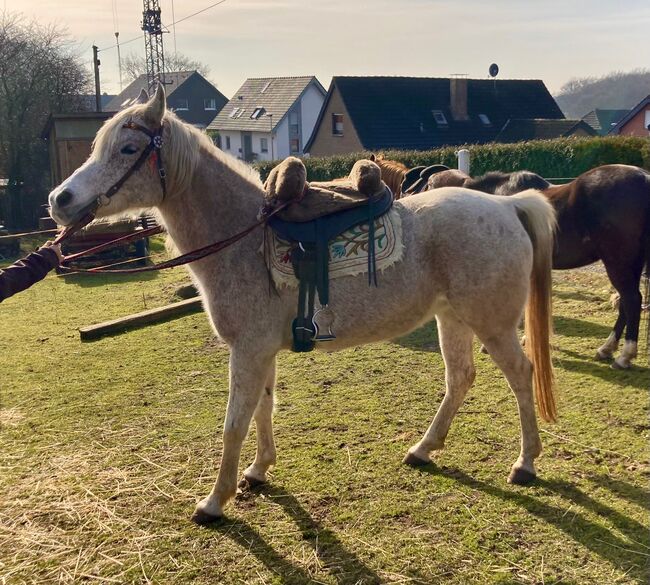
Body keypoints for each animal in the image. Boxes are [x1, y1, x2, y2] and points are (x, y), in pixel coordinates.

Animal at [49, 86, 556, 524]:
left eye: (128, 149)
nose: (59, 199)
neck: (243, 236)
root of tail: (507, 207)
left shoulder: (248, 351)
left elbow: (234, 422)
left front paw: (214, 501)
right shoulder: (260, 352)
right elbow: (262, 408)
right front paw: (257, 472)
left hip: (492, 324)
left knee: (521, 374)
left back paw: (525, 463)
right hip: (451, 318)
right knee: (460, 378)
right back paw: (423, 449)